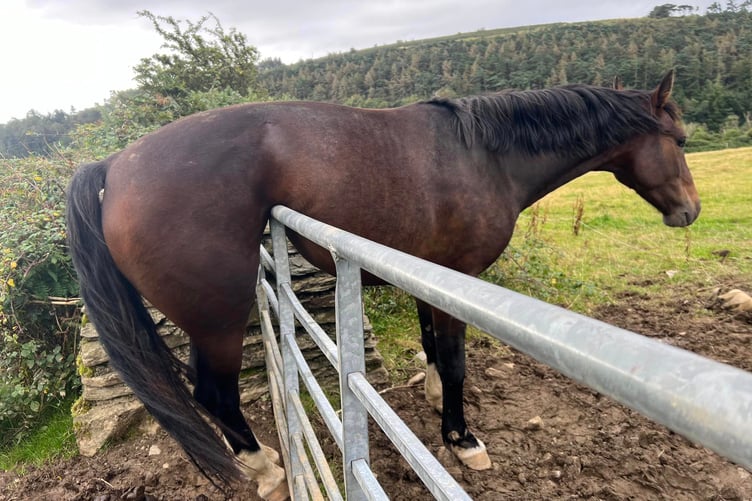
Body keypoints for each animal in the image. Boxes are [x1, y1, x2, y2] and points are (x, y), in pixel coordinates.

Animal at [66, 70, 699, 499]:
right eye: (681, 141)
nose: (690, 211)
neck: (484, 156)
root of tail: (115, 165)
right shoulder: (457, 279)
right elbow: (455, 359)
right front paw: (461, 439)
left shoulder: (427, 274)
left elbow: (433, 347)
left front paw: (433, 396)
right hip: (219, 320)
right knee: (214, 397)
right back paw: (265, 469)